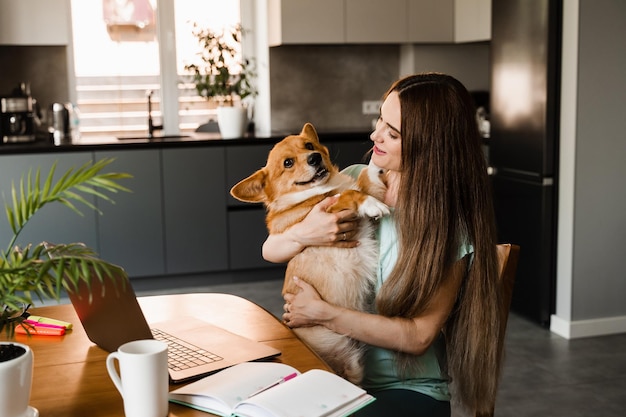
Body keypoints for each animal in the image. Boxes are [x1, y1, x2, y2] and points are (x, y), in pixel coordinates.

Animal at [229, 122, 386, 382]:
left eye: (309, 145)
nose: (314, 158)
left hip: (355, 368)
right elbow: (352, 194)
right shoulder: (329, 211)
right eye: (288, 163)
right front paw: (370, 203)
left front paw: (377, 158)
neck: (324, 189)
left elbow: (366, 178)